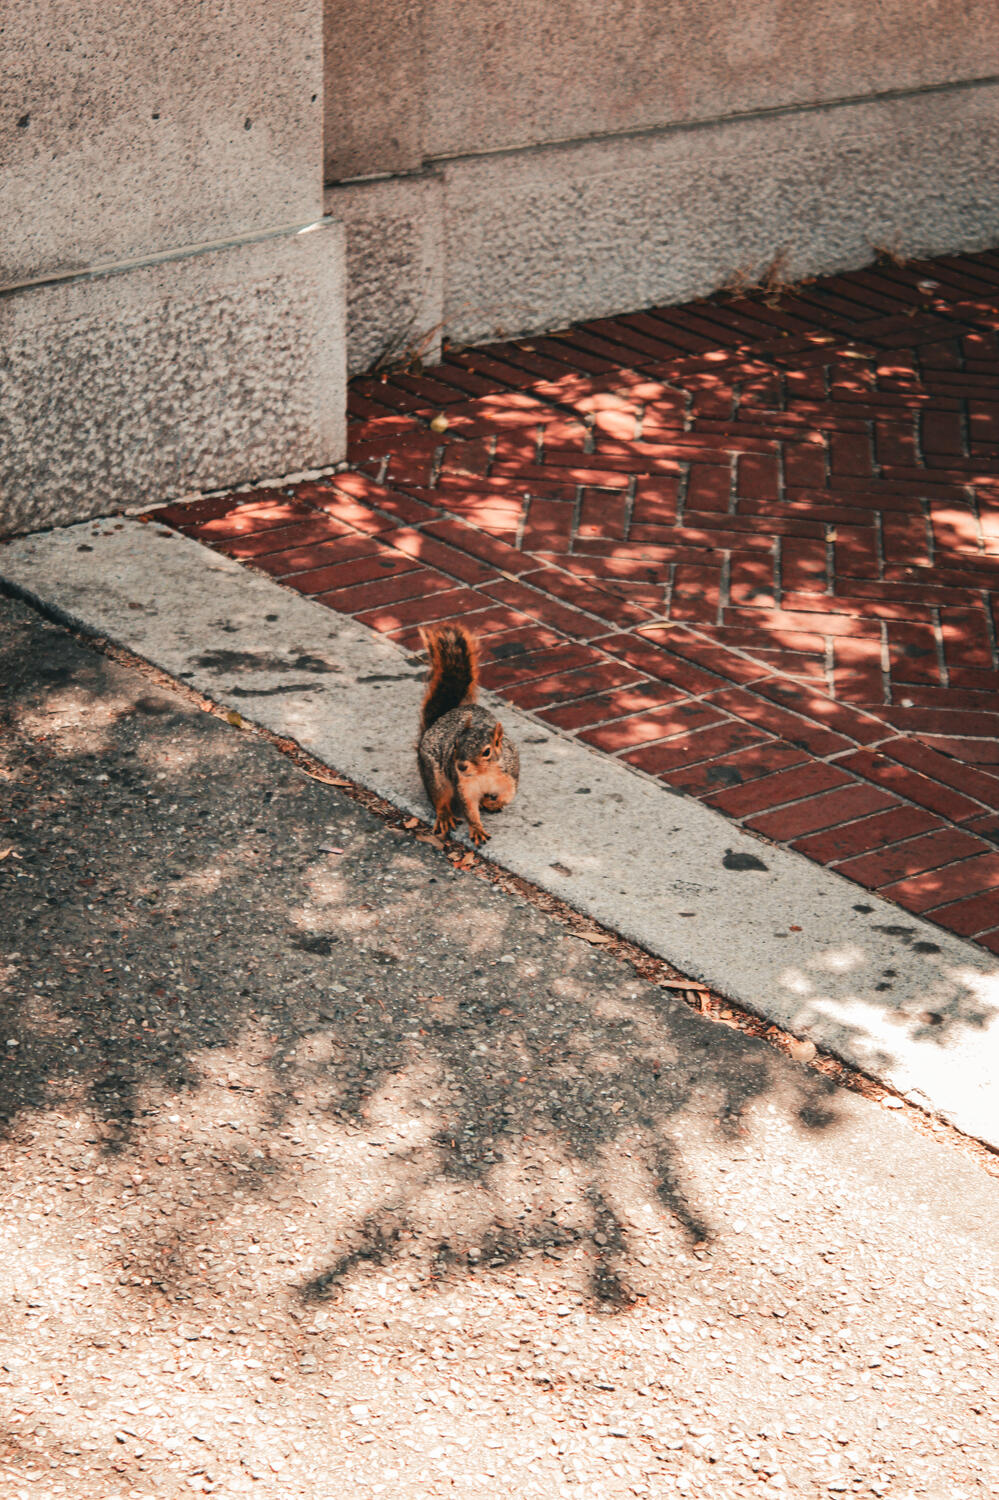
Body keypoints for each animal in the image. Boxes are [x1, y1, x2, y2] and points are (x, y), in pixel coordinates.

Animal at [418, 624, 519, 846]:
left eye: (487, 751)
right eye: (455, 745)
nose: (461, 766)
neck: (484, 775)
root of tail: (434, 725)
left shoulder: (509, 776)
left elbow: (509, 795)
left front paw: (494, 803)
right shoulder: (464, 788)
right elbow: (469, 810)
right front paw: (477, 829)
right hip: (434, 776)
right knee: (439, 797)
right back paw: (445, 815)